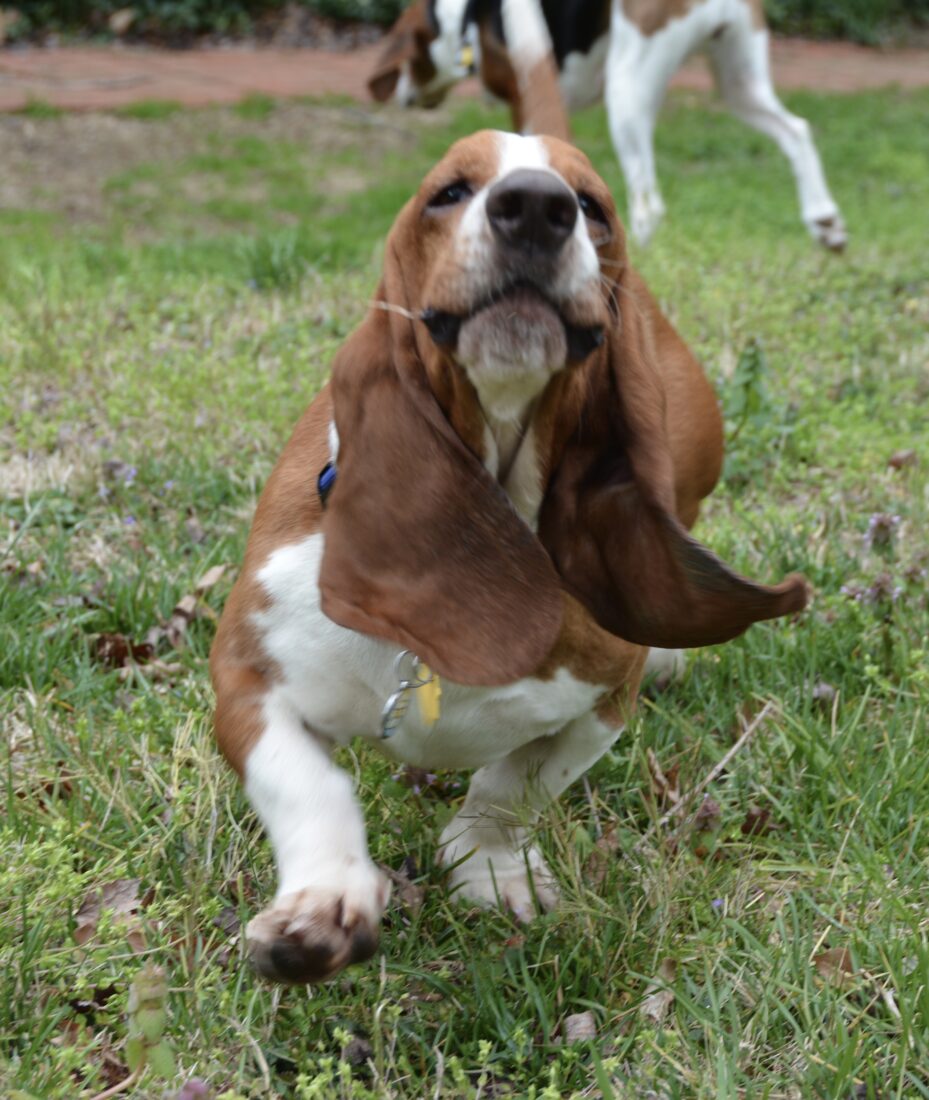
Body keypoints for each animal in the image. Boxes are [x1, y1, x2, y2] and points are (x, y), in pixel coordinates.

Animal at [209, 113, 804, 981]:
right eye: (447, 191)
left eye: (591, 206)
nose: (534, 208)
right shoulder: (247, 675)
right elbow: (306, 786)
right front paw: (324, 900)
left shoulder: (603, 701)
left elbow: (513, 784)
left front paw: (486, 866)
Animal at [365, 0, 844, 249]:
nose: (401, 96)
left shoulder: (529, 97)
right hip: (740, 84)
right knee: (797, 130)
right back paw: (824, 220)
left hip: (627, 91)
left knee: (648, 206)